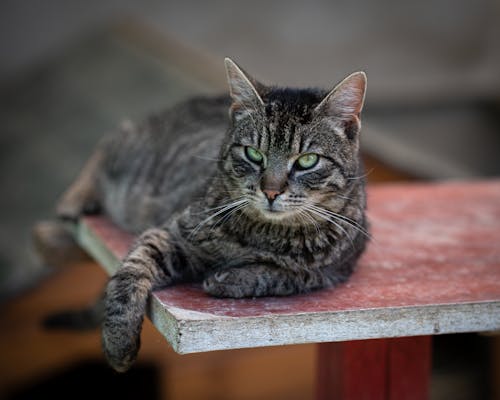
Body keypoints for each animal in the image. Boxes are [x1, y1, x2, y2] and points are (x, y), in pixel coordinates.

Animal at [54, 58, 370, 372]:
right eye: (254, 154)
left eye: (307, 161)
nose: (270, 192)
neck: (267, 234)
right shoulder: (171, 232)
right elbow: (131, 272)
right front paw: (118, 340)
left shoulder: (336, 270)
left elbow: (287, 275)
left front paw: (231, 278)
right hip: (132, 162)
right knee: (111, 140)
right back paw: (73, 202)